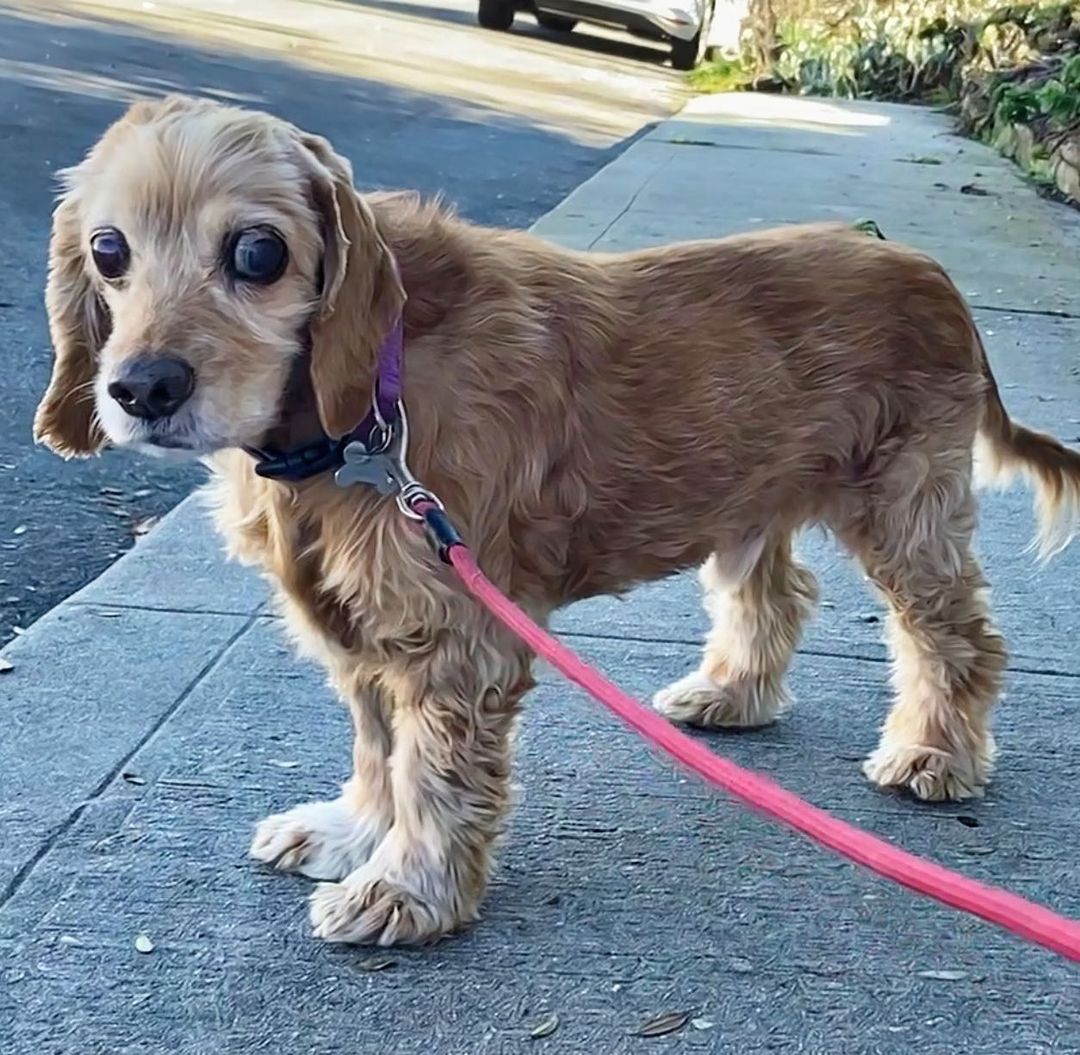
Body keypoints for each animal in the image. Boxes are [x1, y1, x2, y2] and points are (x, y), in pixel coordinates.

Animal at [33, 94, 1080, 941]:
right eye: (108, 251)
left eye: (258, 252)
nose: (141, 387)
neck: (365, 415)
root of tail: (930, 273)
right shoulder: (364, 623)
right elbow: (378, 743)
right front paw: (354, 829)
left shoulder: (454, 633)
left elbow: (432, 771)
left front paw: (409, 890)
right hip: (751, 494)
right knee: (776, 594)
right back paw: (732, 693)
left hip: (905, 507)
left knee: (956, 634)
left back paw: (935, 752)